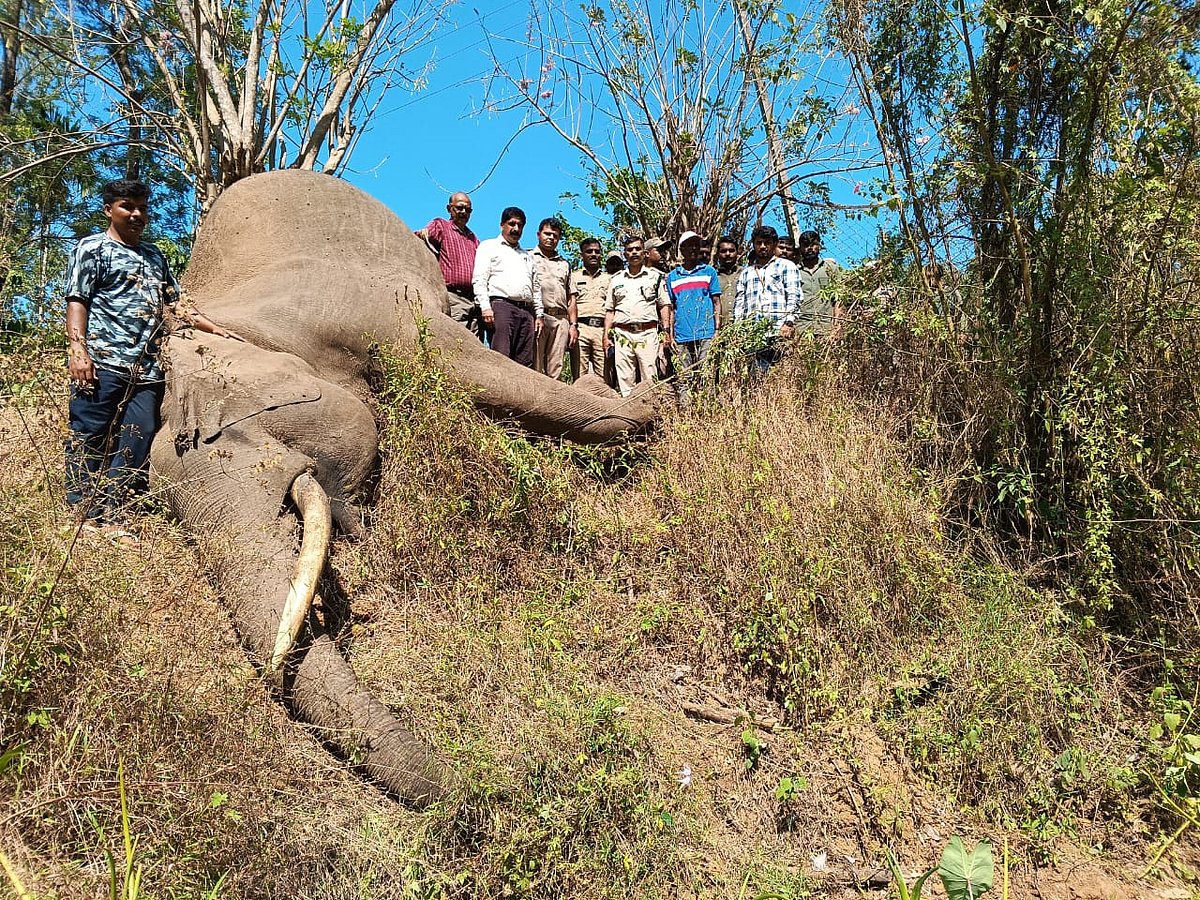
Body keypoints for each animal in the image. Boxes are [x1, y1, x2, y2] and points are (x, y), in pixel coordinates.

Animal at [150, 169, 657, 806]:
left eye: (230, 432)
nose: (473, 783)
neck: (230, 321)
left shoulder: (364, 304)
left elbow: (477, 371)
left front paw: (649, 405)